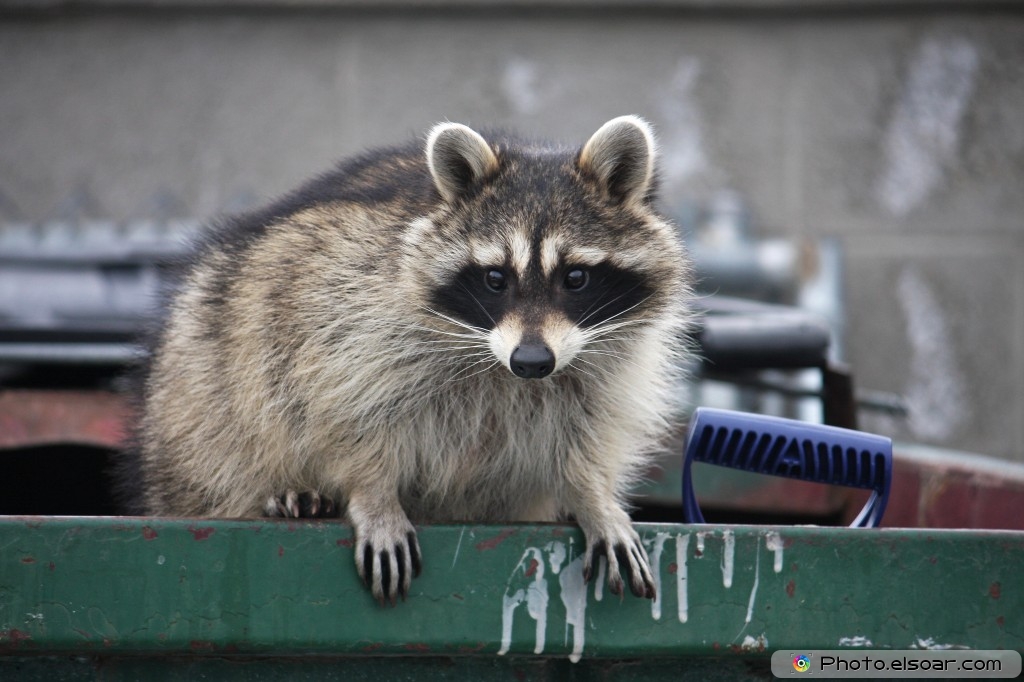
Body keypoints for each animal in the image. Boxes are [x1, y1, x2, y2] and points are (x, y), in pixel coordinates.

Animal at [133, 115, 693, 606]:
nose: (531, 361)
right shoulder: (344, 307)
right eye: (495, 278)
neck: (499, 366)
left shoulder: (604, 361)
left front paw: (594, 496)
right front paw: (372, 492)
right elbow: (345, 410)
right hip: (202, 378)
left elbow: (587, 431)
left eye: (575, 278)